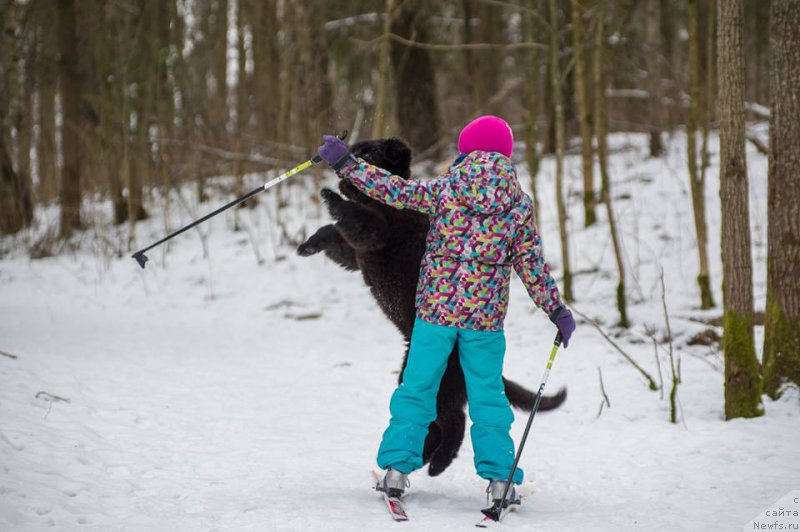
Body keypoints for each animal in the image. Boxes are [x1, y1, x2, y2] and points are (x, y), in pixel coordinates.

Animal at [296, 139, 564, 476]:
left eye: (367, 154)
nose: (346, 159)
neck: (381, 205)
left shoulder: (375, 231)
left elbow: (353, 216)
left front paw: (330, 195)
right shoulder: (354, 253)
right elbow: (332, 232)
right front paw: (306, 245)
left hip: (438, 384)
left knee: (454, 423)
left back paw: (436, 463)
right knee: (440, 425)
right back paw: (423, 459)